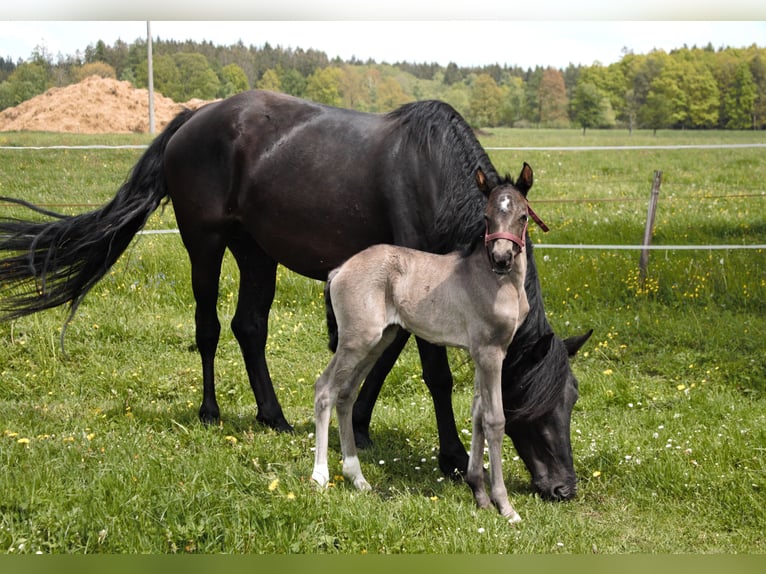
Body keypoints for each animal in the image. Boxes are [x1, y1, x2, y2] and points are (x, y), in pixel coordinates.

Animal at [0, 90, 592, 500]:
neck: (436, 176)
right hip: (204, 243)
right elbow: (435, 373)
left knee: (249, 327)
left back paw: (274, 416)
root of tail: (194, 117)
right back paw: (211, 412)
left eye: (571, 400)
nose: (563, 488)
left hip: (256, 251)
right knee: (208, 327)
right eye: (534, 404)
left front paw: (359, 426)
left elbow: (383, 358)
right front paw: (449, 456)